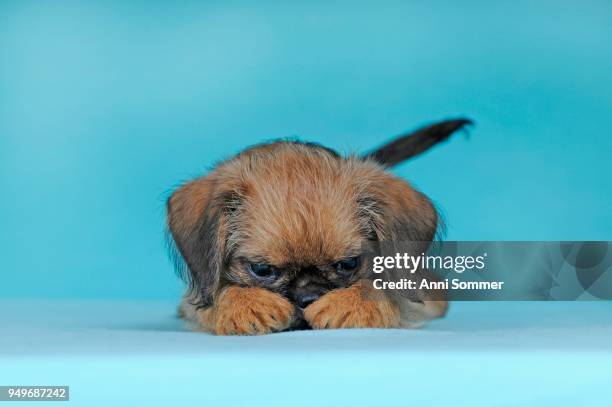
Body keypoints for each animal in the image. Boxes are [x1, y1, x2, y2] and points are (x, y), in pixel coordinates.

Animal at [165, 118, 470, 334]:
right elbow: (217, 293)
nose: (308, 296)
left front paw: (350, 304)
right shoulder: (191, 303)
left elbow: (383, 289)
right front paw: (246, 305)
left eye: (348, 264)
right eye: (262, 269)